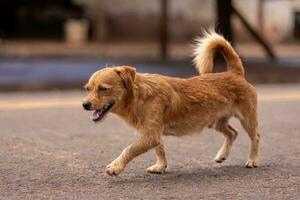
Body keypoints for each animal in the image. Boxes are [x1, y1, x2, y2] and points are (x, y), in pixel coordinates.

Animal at [82, 30, 260, 176]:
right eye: (87, 89)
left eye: (103, 89)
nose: (84, 104)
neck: (138, 96)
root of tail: (235, 73)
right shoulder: (153, 134)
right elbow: (159, 150)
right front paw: (160, 166)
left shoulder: (151, 135)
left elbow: (129, 149)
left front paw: (116, 166)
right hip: (216, 122)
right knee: (232, 133)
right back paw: (222, 155)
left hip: (247, 119)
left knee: (255, 137)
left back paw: (253, 160)